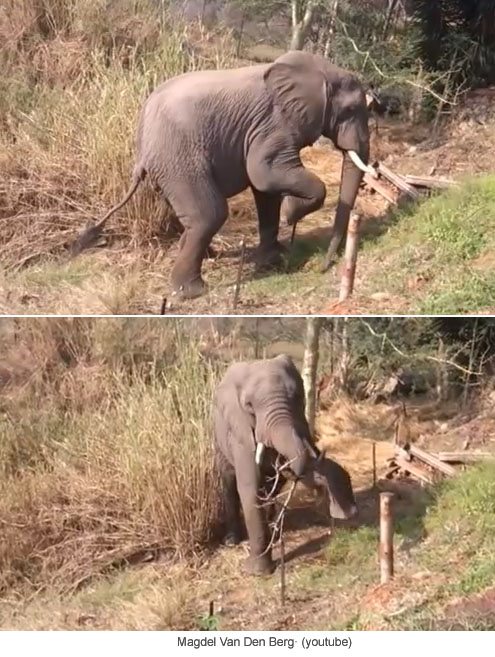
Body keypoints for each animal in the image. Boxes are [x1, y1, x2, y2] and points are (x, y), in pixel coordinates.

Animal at [72, 50, 376, 298]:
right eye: (350, 110)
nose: (325, 267)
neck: (321, 70)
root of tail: (142, 145)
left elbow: (265, 191)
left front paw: (273, 259)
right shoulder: (273, 123)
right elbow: (263, 173)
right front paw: (292, 212)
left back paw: (207, 256)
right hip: (178, 158)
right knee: (210, 214)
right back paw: (192, 292)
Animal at [213, 354, 356, 576]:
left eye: (297, 397)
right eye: (249, 406)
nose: (350, 512)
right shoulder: (240, 431)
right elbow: (249, 486)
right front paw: (258, 573)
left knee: (274, 485)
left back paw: (275, 529)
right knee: (228, 479)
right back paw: (232, 540)